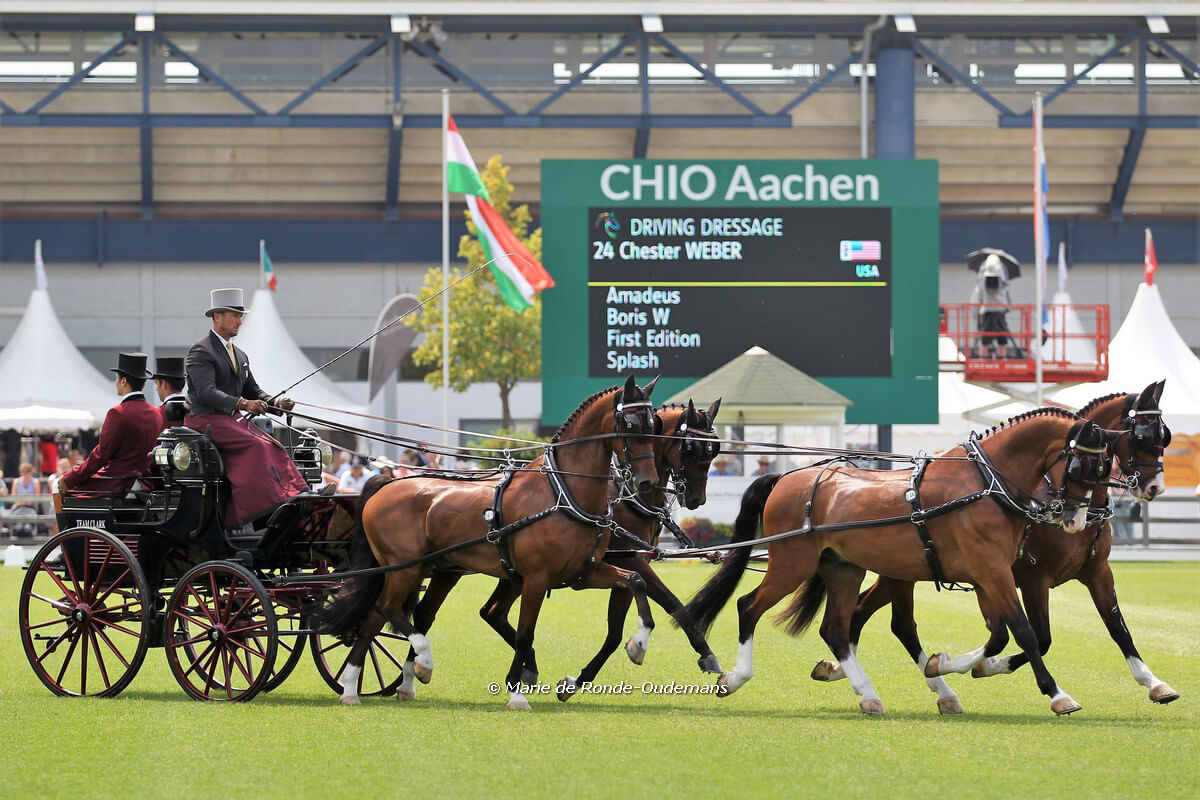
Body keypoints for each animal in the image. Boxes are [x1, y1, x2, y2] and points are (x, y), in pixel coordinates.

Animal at [318, 375, 661, 710]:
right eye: (631, 424)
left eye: (654, 424)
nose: (647, 482)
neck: (563, 493)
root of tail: (387, 482)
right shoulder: (536, 579)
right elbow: (525, 634)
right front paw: (517, 694)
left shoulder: (584, 573)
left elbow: (636, 581)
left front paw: (638, 645)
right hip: (402, 568)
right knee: (386, 609)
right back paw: (417, 662)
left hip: (431, 569)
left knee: (379, 618)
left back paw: (360, 687)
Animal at [389, 399, 726, 703]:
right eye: (690, 448)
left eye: (713, 450)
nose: (696, 499)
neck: (622, 493)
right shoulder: (631, 558)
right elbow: (655, 609)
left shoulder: (615, 564)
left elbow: (655, 611)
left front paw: (707, 656)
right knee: (435, 613)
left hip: (465, 569)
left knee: (479, 612)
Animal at [686, 409, 1120, 716]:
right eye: (1080, 466)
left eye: (1106, 468)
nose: (1076, 520)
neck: (984, 485)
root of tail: (787, 478)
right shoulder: (993, 572)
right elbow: (1026, 634)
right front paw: (1058, 694)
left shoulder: (988, 576)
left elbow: (1001, 634)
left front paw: (942, 665)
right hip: (793, 564)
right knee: (749, 607)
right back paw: (736, 677)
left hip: (844, 569)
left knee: (837, 629)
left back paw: (869, 694)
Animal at [809, 380, 1178, 710]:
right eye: (1141, 437)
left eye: (1165, 437)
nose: (1154, 486)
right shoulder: (1030, 579)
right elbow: (1038, 636)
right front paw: (985, 667)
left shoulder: (1096, 572)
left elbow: (1119, 628)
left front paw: (1154, 682)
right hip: (902, 571)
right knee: (890, 622)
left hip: (901, 570)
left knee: (862, 613)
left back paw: (841, 669)